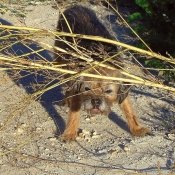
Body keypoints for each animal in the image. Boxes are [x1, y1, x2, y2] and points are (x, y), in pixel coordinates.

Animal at [54, 4, 150, 141]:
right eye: (87, 89)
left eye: (108, 91)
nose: (95, 101)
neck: (100, 61)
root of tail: (75, 6)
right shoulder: (78, 89)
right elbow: (74, 113)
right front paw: (69, 133)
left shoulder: (122, 89)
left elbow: (129, 110)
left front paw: (137, 129)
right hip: (62, 62)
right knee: (68, 83)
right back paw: (67, 99)